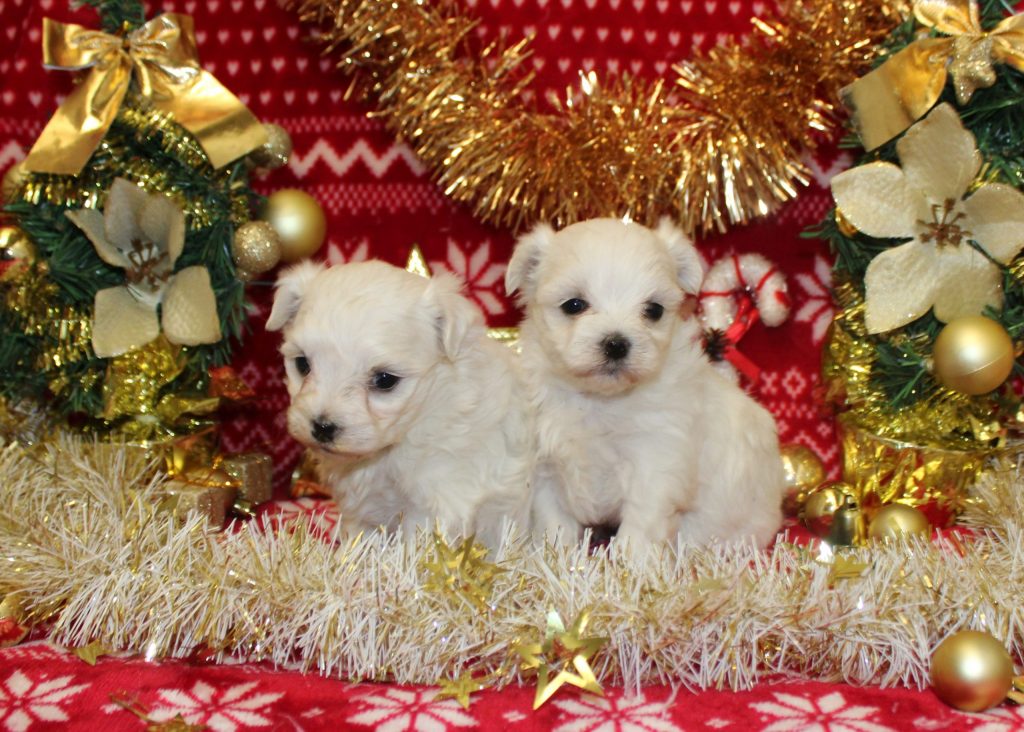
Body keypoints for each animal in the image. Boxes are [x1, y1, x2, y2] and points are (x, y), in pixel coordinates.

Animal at [267, 260, 532, 547]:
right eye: (302, 364)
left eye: (385, 380)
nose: (322, 427)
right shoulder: (363, 507)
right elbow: (360, 539)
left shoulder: (438, 499)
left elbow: (416, 547)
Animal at [506, 217, 784, 549]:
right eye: (573, 305)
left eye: (653, 310)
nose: (616, 344)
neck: (599, 400)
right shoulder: (546, 465)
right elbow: (554, 523)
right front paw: (553, 557)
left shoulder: (656, 464)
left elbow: (640, 528)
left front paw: (631, 562)